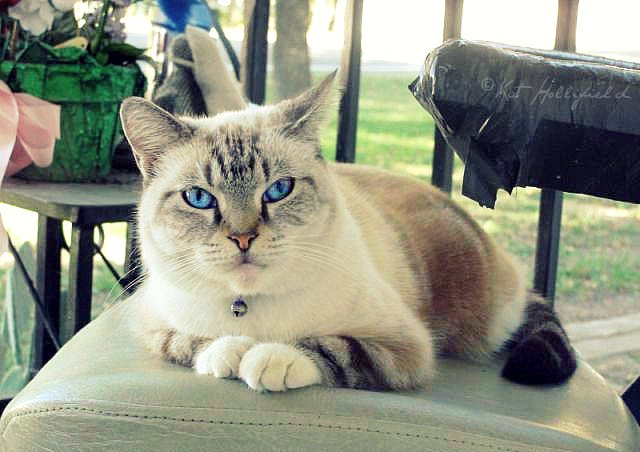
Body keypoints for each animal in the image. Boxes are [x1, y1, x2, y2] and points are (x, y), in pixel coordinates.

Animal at [119, 70, 576, 392]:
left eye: (279, 190)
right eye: (199, 198)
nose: (243, 237)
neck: (249, 307)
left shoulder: (405, 347)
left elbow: (333, 348)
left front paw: (268, 359)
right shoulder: (150, 321)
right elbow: (190, 342)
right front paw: (231, 351)